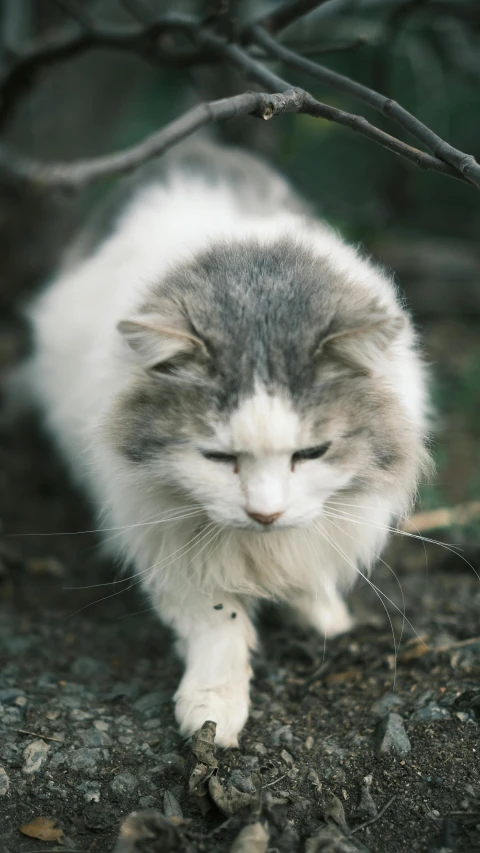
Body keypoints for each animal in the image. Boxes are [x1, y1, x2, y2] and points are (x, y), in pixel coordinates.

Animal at [21, 141, 428, 744]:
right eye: (218, 457)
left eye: (310, 454)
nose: (265, 515)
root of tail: (196, 147)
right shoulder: (169, 542)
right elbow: (218, 623)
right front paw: (212, 713)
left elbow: (306, 570)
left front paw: (324, 617)